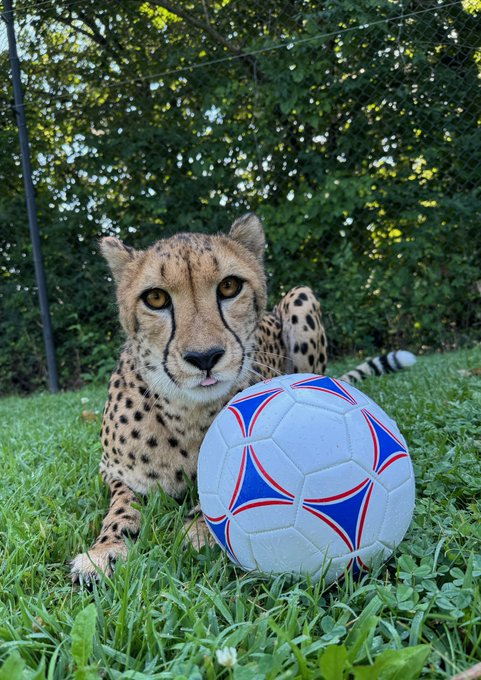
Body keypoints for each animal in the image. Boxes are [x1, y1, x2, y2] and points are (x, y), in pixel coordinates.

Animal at [70, 213, 414, 583]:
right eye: (157, 298)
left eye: (229, 287)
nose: (204, 357)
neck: (185, 413)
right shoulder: (113, 472)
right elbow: (121, 506)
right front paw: (104, 549)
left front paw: (199, 529)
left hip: (301, 297)